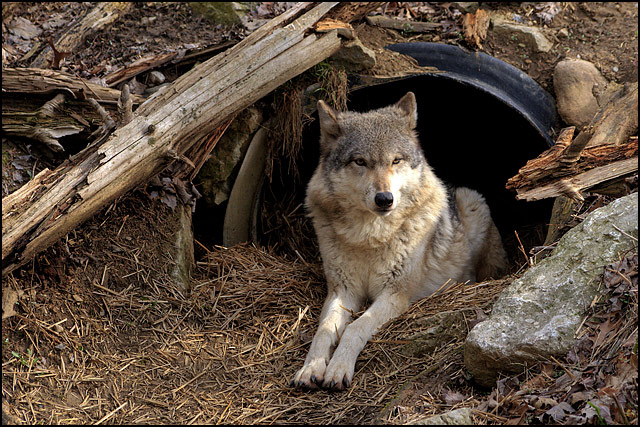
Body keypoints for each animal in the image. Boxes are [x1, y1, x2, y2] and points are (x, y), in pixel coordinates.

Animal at [292, 93, 508, 392]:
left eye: (395, 161)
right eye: (360, 162)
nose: (385, 199)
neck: (369, 237)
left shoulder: (394, 294)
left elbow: (355, 328)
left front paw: (337, 369)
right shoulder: (342, 290)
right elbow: (323, 331)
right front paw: (310, 368)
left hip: (472, 201)